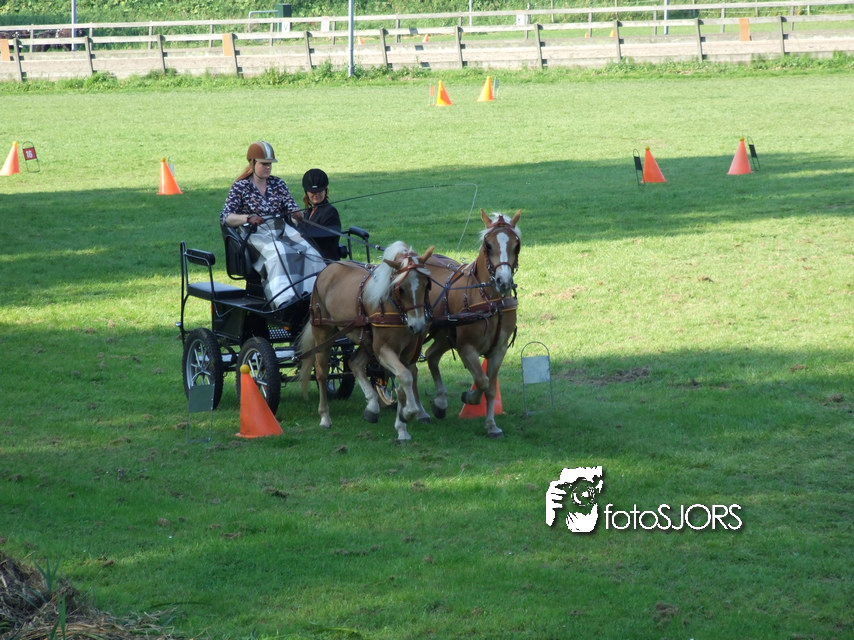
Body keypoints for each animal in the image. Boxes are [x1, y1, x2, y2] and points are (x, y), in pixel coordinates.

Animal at [299, 241, 434, 441]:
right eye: (400, 288)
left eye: (426, 285)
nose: (417, 326)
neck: (394, 308)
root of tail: (328, 268)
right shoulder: (383, 349)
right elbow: (405, 377)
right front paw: (409, 413)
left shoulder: (407, 353)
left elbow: (404, 383)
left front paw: (402, 427)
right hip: (324, 333)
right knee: (322, 373)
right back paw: (325, 416)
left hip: (366, 341)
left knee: (354, 362)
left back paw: (372, 406)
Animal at [412, 209, 521, 438]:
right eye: (488, 245)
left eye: (516, 245)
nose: (503, 282)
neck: (490, 301)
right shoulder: (466, 348)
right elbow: (481, 380)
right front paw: (470, 398)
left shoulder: (499, 349)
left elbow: (490, 388)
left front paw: (491, 425)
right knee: (411, 368)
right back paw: (420, 412)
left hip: (445, 335)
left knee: (432, 356)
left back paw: (440, 403)